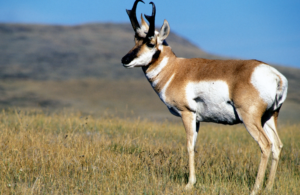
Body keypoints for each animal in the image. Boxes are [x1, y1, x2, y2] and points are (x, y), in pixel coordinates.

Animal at [121, 0, 288, 194]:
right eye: (135, 40)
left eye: (150, 43)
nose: (124, 60)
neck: (175, 70)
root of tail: (276, 76)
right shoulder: (198, 119)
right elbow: (194, 146)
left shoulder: (187, 114)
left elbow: (188, 146)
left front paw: (189, 184)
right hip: (269, 117)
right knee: (277, 145)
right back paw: (268, 187)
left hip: (250, 119)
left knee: (266, 145)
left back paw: (255, 188)